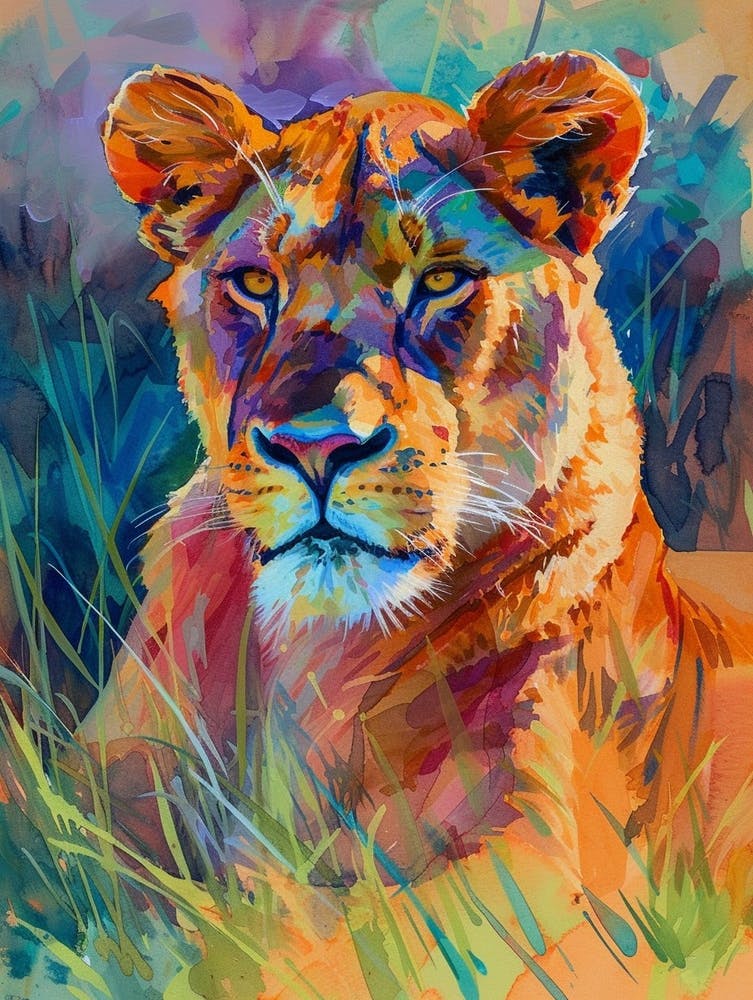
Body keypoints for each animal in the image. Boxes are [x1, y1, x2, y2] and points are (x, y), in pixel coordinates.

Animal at [73, 50, 753, 993]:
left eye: (438, 281)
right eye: (255, 284)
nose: (315, 445)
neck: (316, 667)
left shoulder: (565, 880)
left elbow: (357, 942)